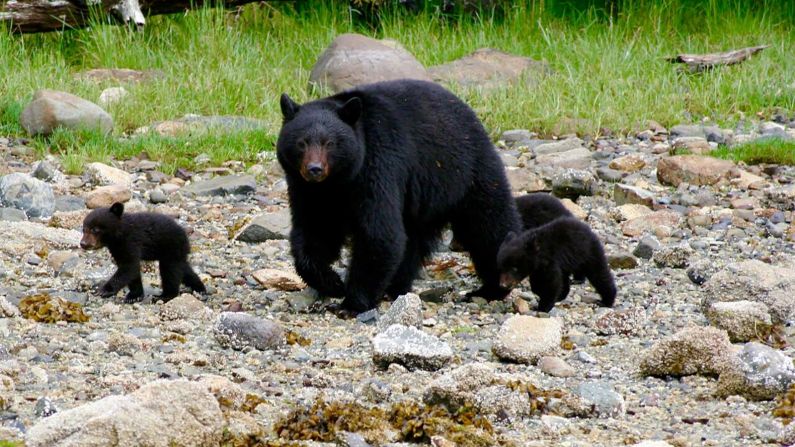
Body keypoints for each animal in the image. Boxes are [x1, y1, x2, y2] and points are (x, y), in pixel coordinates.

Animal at [276, 79, 520, 314]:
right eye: (301, 142)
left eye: (330, 143)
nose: (314, 169)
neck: (337, 183)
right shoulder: (307, 190)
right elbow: (315, 231)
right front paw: (332, 283)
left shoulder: (378, 165)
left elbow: (379, 233)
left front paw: (351, 304)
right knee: (413, 240)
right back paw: (396, 287)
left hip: (467, 173)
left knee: (489, 227)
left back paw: (491, 288)